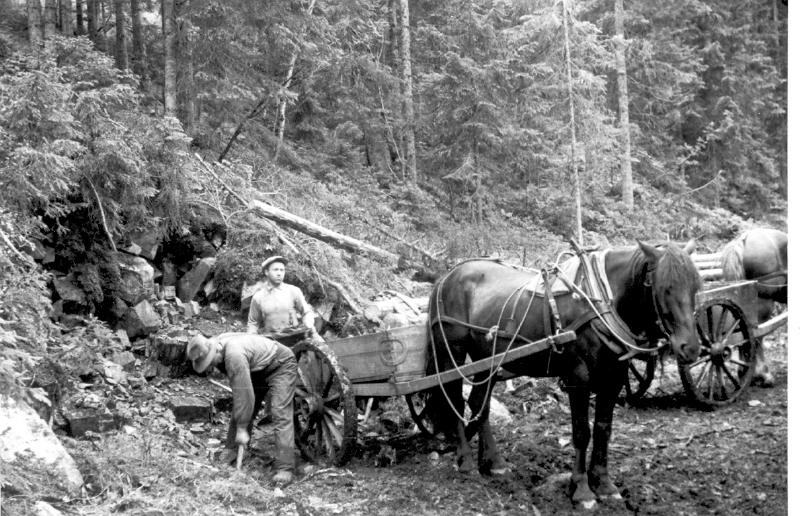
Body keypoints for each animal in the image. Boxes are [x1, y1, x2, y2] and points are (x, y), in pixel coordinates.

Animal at [425, 241, 702, 509]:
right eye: (665, 287)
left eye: (696, 287)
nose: (690, 348)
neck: (601, 300)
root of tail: (445, 277)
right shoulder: (578, 378)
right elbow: (581, 432)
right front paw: (581, 490)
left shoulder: (613, 379)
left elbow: (603, 430)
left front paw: (604, 484)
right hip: (452, 354)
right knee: (454, 399)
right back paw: (466, 461)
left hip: (487, 359)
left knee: (478, 404)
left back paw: (494, 462)